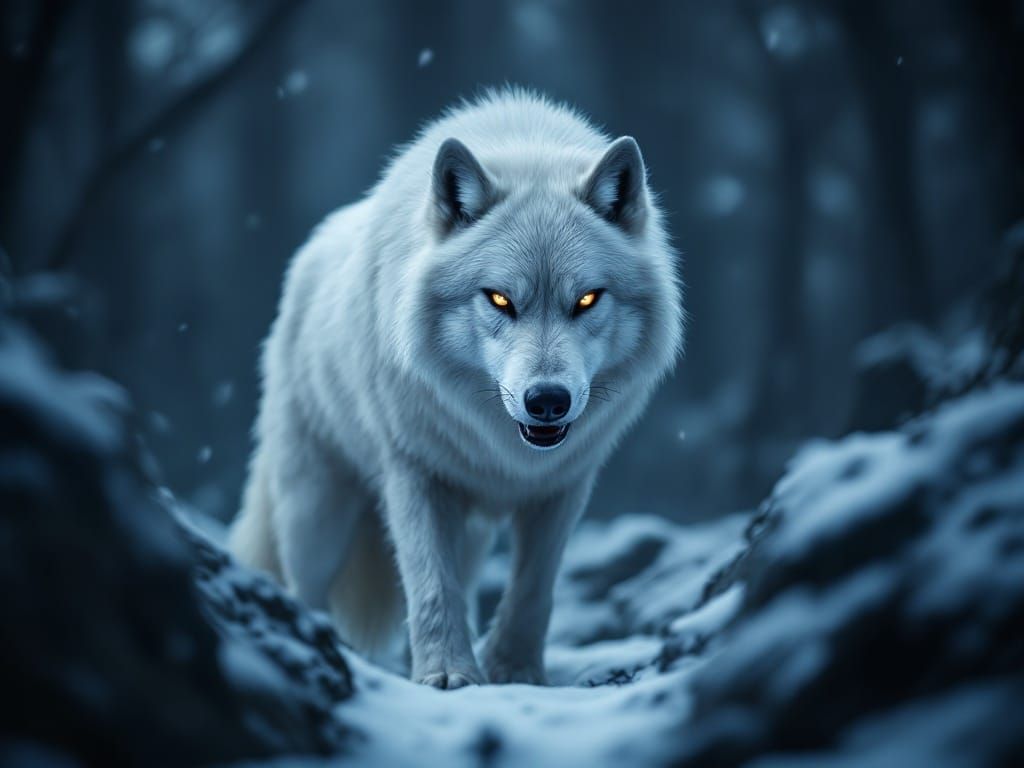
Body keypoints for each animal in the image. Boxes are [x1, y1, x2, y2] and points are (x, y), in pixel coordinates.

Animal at [229, 90, 684, 688]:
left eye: (586, 300)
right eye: (499, 299)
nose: (547, 400)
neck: (508, 454)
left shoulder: (564, 487)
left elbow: (533, 590)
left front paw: (514, 671)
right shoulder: (414, 472)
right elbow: (430, 586)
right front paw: (447, 674)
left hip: (465, 534)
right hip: (315, 510)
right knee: (303, 585)